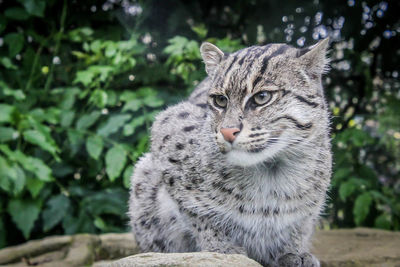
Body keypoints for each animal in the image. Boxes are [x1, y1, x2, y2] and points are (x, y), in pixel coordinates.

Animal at [128, 38, 332, 267]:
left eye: (262, 97)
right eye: (220, 100)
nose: (227, 131)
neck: (271, 171)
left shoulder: (312, 206)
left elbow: (300, 224)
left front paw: (293, 251)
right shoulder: (166, 129)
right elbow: (199, 214)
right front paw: (223, 251)